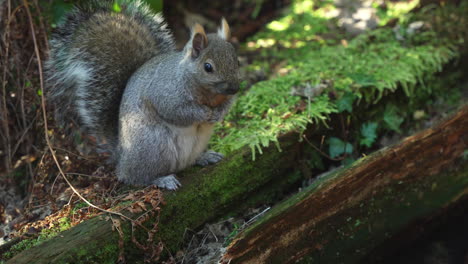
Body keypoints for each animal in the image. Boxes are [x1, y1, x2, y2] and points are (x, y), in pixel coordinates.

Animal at [45, 0, 239, 190]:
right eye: (208, 67)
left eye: (236, 59)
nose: (235, 88)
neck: (207, 93)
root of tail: (121, 158)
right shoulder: (166, 93)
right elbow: (177, 111)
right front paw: (204, 113)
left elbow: (226, 105)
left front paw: (219, 113)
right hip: (153, 146)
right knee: (135, 177)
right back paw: (161, 180)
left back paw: (205, 157)